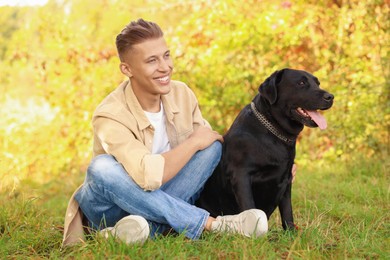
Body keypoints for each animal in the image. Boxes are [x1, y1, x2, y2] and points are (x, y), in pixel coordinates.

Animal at [197, 67, 334, 230]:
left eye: (317, 83)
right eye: (301, 83)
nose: (330, 97)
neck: (275, 133)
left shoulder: (287, 178)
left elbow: (287, 210)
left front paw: (290, 232)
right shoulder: (241, 175)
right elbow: (249, 205)